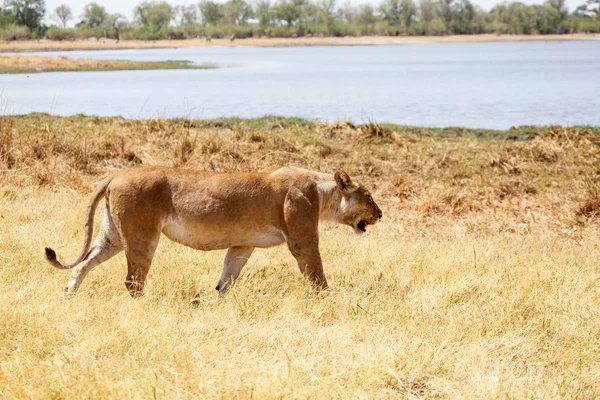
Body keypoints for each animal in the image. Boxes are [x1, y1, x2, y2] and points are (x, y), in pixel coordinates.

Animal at [47, 166, 384, 296]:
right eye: (368, 196)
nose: (380, 214)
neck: (323, 193)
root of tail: (117, 174)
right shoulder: (302, 239)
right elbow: (316, 273)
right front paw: (328, 298)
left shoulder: (242, 245)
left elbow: (227, 278)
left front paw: (219, 302)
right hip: (141, 235)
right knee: (132, 280)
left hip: (113, 236)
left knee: (82, 264)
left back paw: (68, 296)